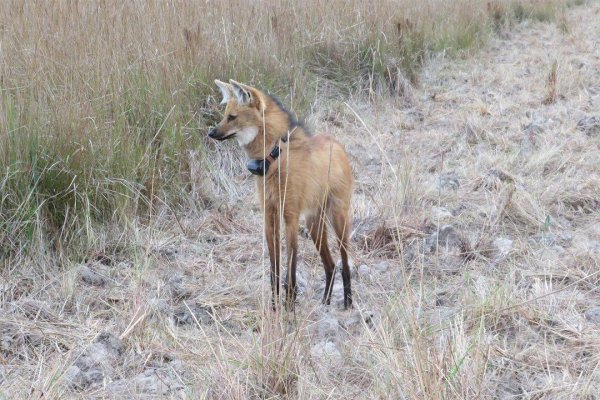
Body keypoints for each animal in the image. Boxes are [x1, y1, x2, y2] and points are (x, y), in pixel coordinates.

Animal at [209, 79, 354, 310]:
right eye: (225, 115)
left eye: (232, 117)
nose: (211, 133)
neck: (273, 157)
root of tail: (338, 145)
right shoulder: (270, 216)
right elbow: (274, 269)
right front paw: (276, 307)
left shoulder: (290, 217)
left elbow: (291, 269)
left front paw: (290, 307)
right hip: (314, 224)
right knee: (330, 265)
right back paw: (325, 302)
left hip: (337, 219)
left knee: (344, 262)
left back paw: (348, 303)